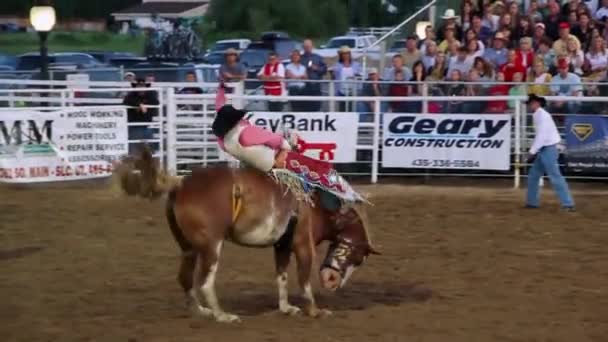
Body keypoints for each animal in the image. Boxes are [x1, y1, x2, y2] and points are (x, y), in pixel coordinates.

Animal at [114, 148, 378, 324]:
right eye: (358, 255)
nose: (333, 283)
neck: (317, 204)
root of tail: (180, 184)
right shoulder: (303, 245)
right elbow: (304, 280)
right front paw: (315, 311)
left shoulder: (282, 246)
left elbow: (281, 277)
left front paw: (286, 308)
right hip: (212, 246)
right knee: (205, 281)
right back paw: (222, 315)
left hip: (188, 247)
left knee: (186, 278)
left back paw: (200, 311)